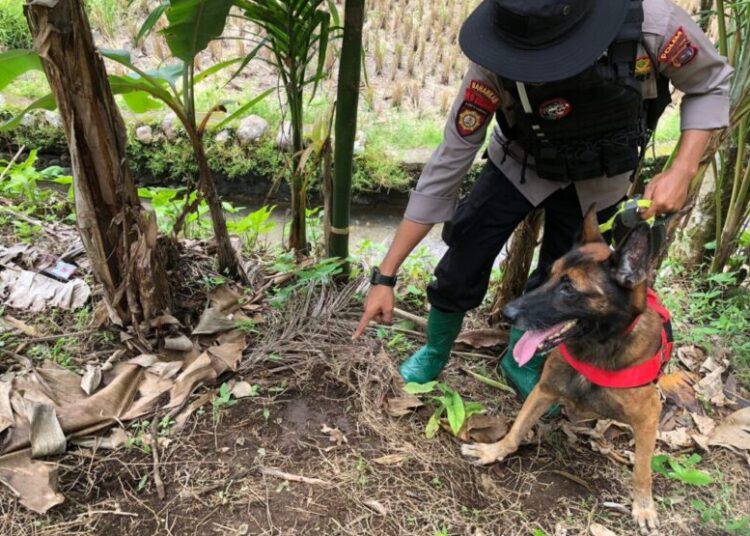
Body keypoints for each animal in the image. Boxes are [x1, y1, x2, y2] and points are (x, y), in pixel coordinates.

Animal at [464, 205, 668, 532]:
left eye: (569, 288)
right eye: (549, 276)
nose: (507, 313)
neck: (596, 350)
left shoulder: (649, 416)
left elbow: (642, 469)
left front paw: (644, 507)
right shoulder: (544, 390)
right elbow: (517, 428)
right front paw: (494, 450)